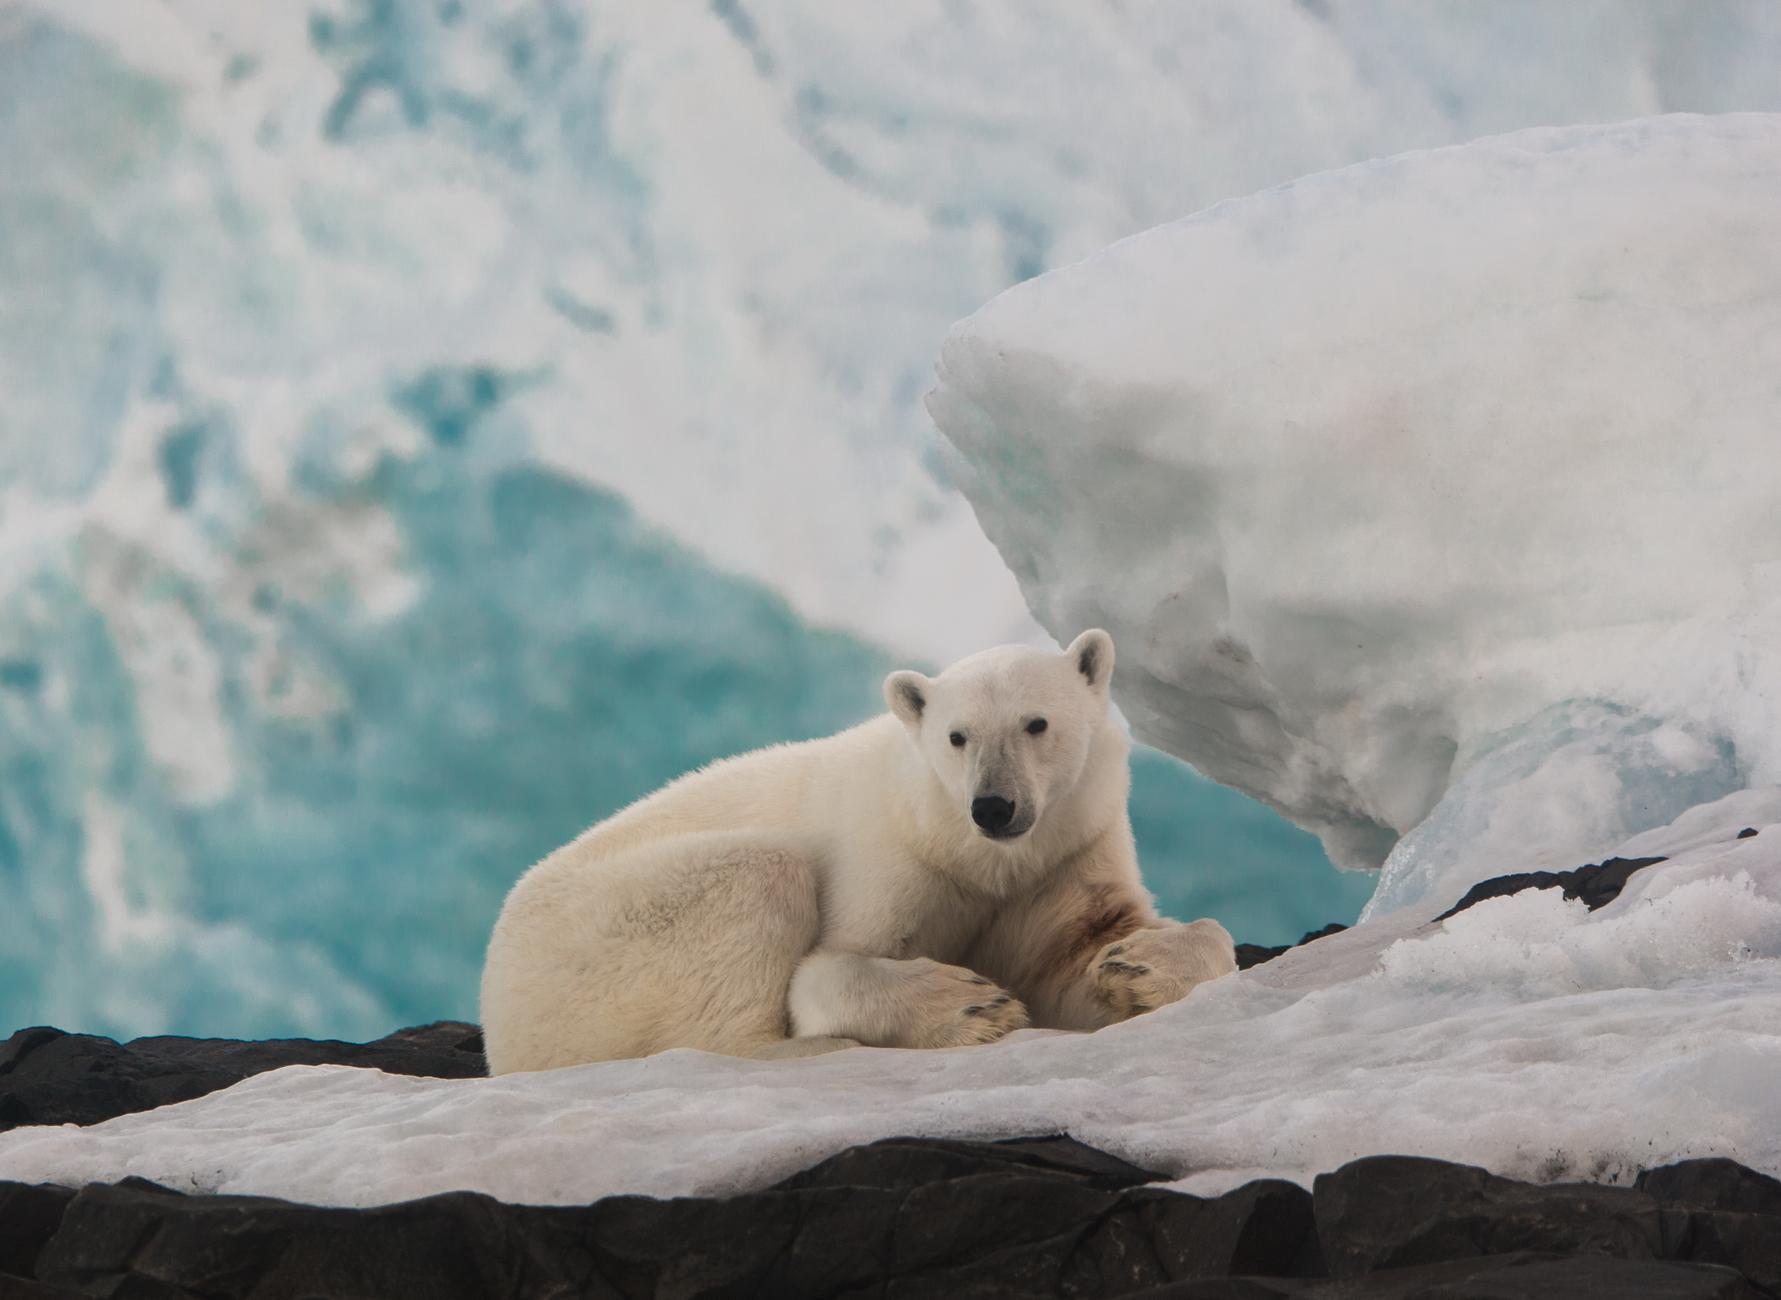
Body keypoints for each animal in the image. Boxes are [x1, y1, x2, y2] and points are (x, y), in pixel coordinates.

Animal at [480, 623, 1232, 1068]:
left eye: (1036, 723)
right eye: (956, 736)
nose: (993, 806)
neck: (976, 855)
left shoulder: (1064, 851)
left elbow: (1076, 952)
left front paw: (1135, 962)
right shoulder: (898, 855)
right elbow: (827, 968)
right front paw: (974, 1006)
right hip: (600, 942)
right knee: (757, 878)